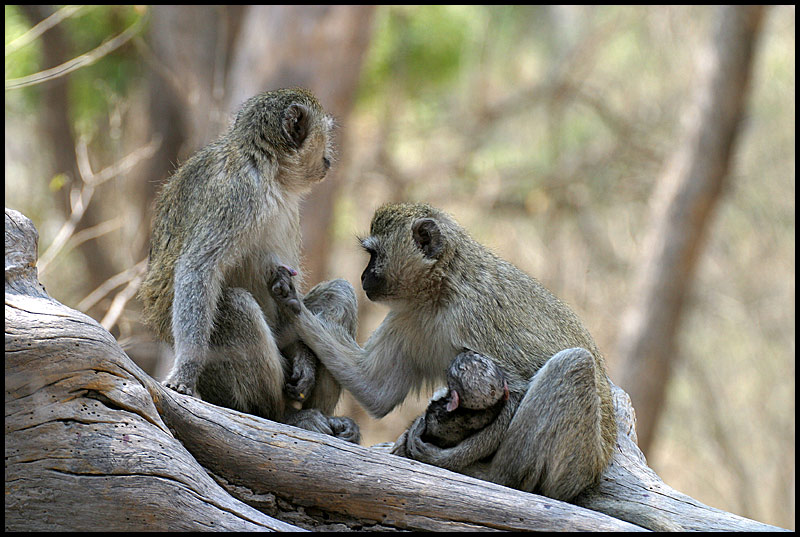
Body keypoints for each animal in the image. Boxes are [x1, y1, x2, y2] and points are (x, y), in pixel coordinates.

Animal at [140, 87, 360, 440]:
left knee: (340, 292)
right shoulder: (239, 194)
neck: (269, 169)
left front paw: (305, 361)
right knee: (235, 305)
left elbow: (288, 288)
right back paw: (282, 416)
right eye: (326, 134)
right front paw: (184, 372)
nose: (330, 157)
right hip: (218, 381)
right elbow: (198, 269)